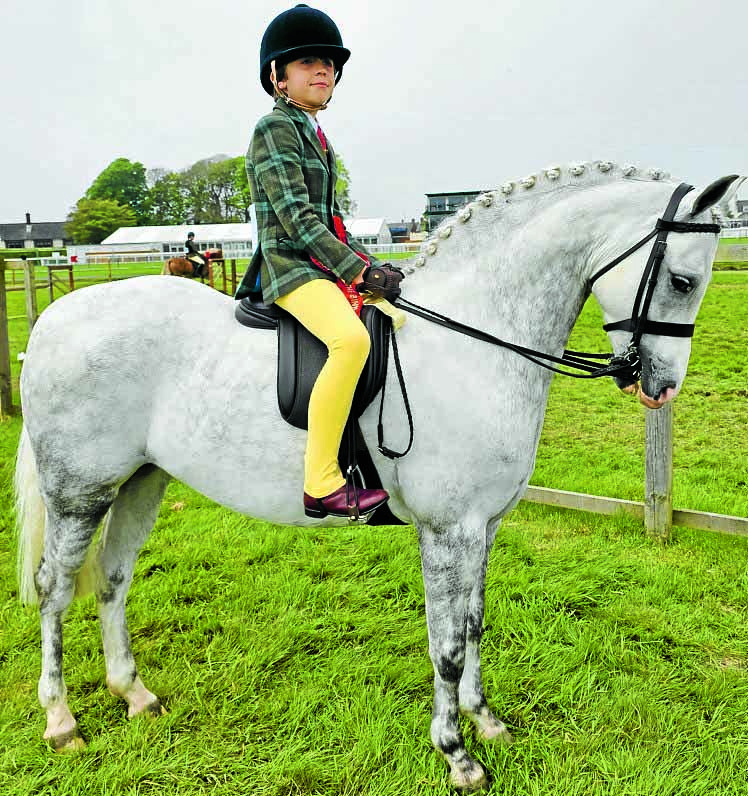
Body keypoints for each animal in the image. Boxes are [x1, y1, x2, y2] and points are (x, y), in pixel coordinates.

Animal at [14, 162, 740, 788]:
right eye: (681, 280)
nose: (661, 388)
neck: (472, 340)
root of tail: (55, 318)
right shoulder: (448, 530)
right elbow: (446, 645)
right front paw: (457, 755)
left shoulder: (484, 526)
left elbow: (473, 625)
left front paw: (486, 722)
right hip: (81, 491)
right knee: (55, 588)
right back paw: (61, 721)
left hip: (142, 480)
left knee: (113, 578)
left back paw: (133, 693)